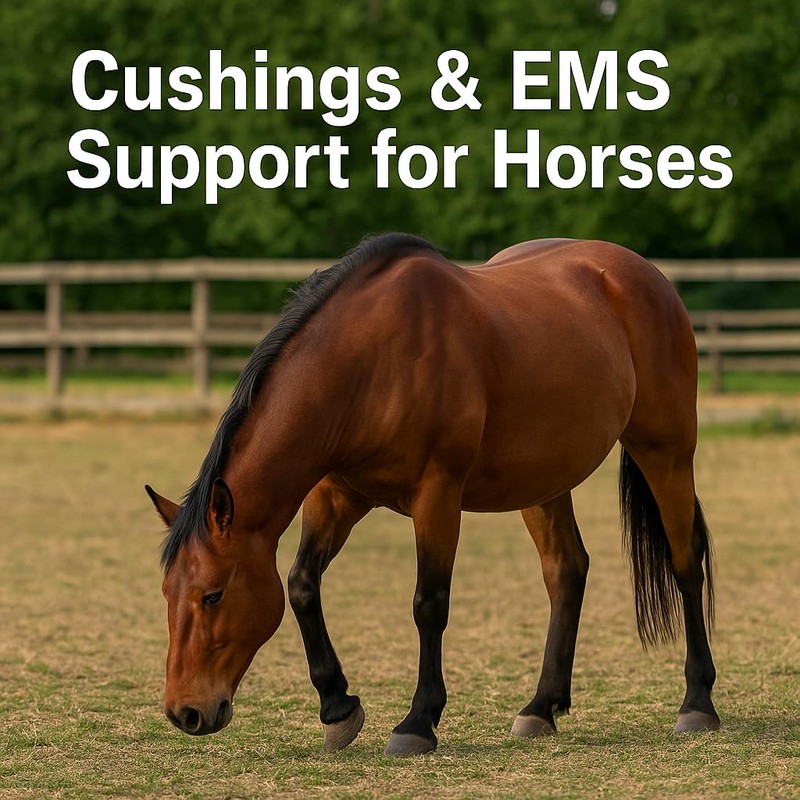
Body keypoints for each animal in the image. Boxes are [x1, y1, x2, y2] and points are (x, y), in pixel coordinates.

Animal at [146, 233, 719, 756]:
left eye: (213, 594)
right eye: (168, 593)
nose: (185, 712)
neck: (369, 361)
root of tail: (641, 274)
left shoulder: (436, 495)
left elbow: (429, 604)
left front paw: (417, 722)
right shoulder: (336, 496)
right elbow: (302, 585)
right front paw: (338, 708)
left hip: (666, 450)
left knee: (685, 561)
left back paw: (697, 703)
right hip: (544, 480)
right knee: (566, 571)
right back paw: (541, 707)